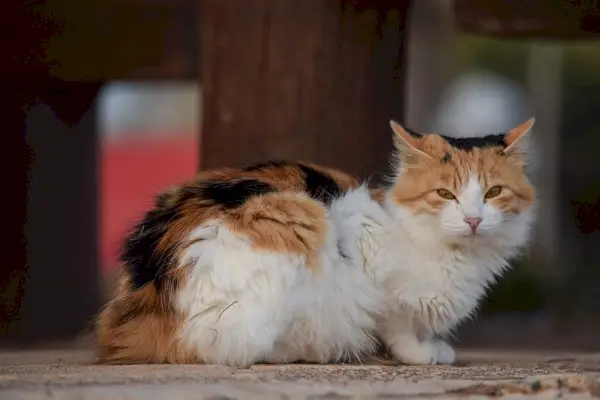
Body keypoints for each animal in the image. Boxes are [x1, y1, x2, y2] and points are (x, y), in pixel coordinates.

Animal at [96, 117, 536, 368]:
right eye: (445, 195)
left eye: (494, 192)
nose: (474, 219)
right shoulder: (363, 249)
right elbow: (395, 322)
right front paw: (420, 353)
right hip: (298, 223)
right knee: (225, 347)